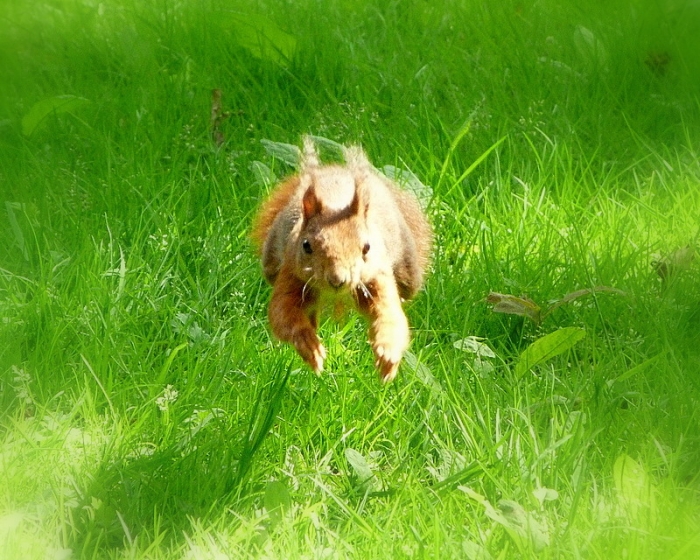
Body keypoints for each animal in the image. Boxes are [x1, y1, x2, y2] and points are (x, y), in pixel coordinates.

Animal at [251, 137, 432, 383]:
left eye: (367, 247)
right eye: (306, 245)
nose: (337, 279)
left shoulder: (378, 277)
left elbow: (390, 318)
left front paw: (388, 357)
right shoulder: (290, 273)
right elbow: (282, 315)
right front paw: (309, 346)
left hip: (407, 274)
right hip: (271, 263)